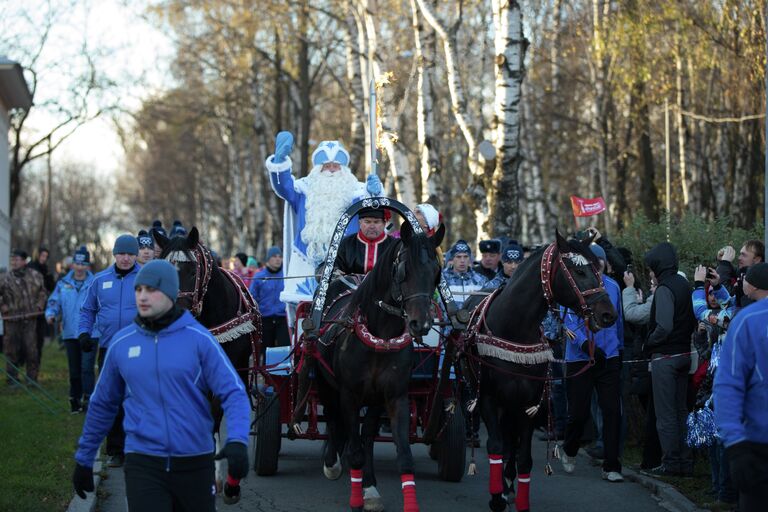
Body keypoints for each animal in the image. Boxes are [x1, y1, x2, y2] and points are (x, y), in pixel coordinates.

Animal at [314, 222, 444, 512]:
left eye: (436, 272)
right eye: (404, 269)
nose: (421, 324)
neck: (380, 338)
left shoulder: (394, 397)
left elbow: (401, 455)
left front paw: (373, 491)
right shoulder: (349, 395)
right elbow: (355, 451)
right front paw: (356, 498)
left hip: (373, 401)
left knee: (367, 435)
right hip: (325, 383)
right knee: (332, 417)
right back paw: (331, 462)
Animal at [462, 232, 616, 512]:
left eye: (597, 269)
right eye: (578, 271)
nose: (608, 314)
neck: (514, 329)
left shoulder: (530, 402)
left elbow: (523, 456)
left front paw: (518, 498)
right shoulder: (489, 398)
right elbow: (496, 445)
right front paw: (497, 498)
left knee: (512, 442)